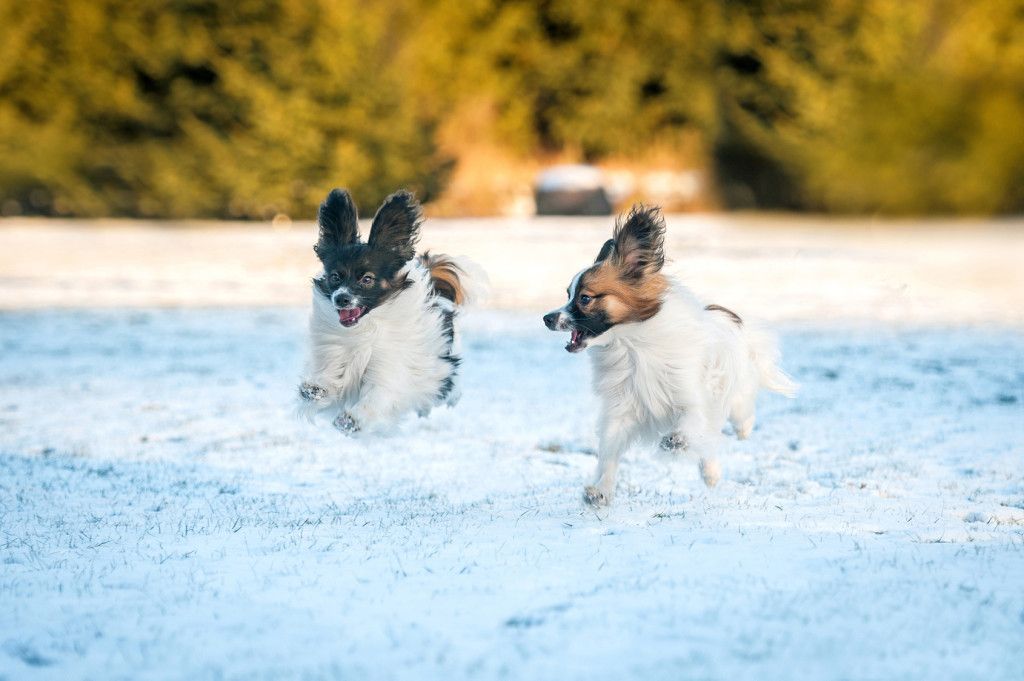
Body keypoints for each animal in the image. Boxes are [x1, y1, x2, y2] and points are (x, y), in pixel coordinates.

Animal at [296, 188, 479, 432]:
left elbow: (378, 394)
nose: (341, 299)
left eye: (367, 279)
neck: (364, 328)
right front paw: (315, 389)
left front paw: (351, 419)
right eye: (335, 277)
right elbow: (330, 378)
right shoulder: (335, 352)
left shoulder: (388, 365)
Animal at [544, 204, 790, 501]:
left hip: (733, 385)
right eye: (568, 294)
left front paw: (675, 441)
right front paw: (601, 490)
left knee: (739, 409)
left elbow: (690, 421)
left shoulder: (691, 396)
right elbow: (609, 455)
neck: (631, 347)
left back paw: (740, 432)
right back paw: (710, 473)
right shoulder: (621, 410)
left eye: (584, 298)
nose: (546, 318)